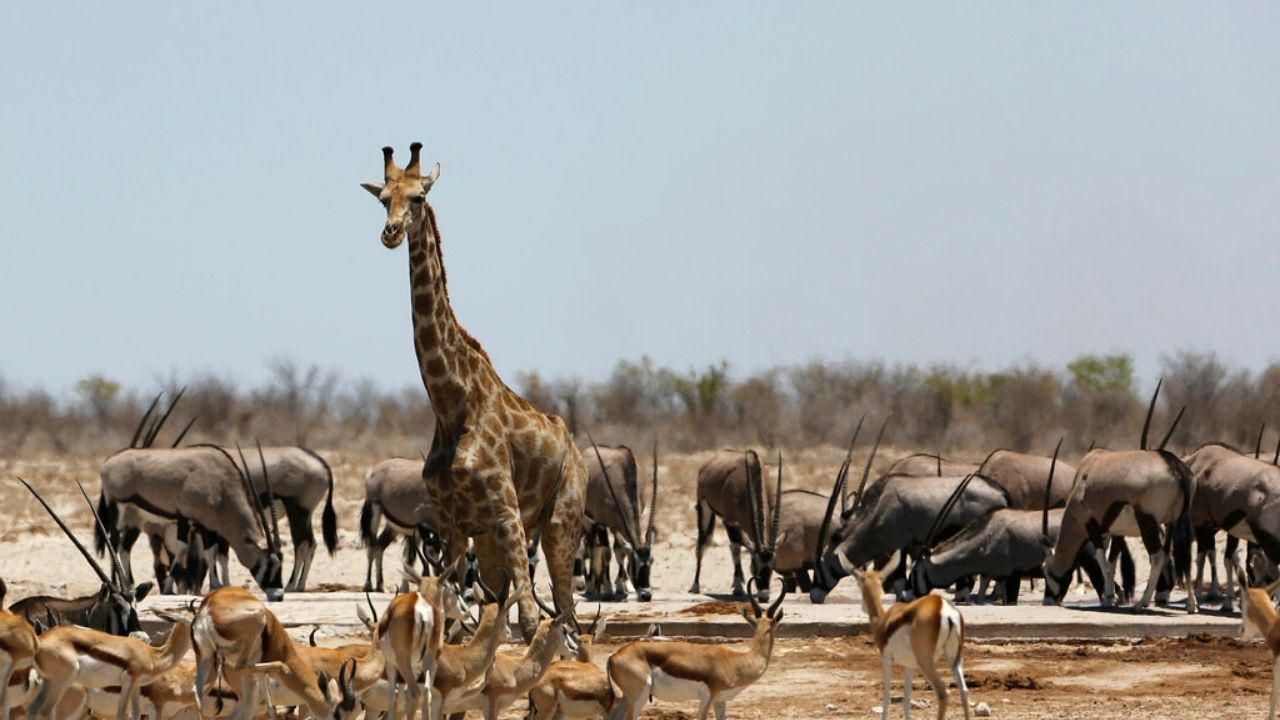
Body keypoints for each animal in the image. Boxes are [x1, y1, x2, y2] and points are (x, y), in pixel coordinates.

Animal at [360, 142, 587, 639]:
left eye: (419, 197)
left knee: (567, 614)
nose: (390, 233)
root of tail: (575, 449)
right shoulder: (454, 522)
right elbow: (460, 619)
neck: (452, 404)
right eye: (382, 199)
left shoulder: (506, 510)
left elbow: (527, 619)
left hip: (561, 521)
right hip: (491, 540)